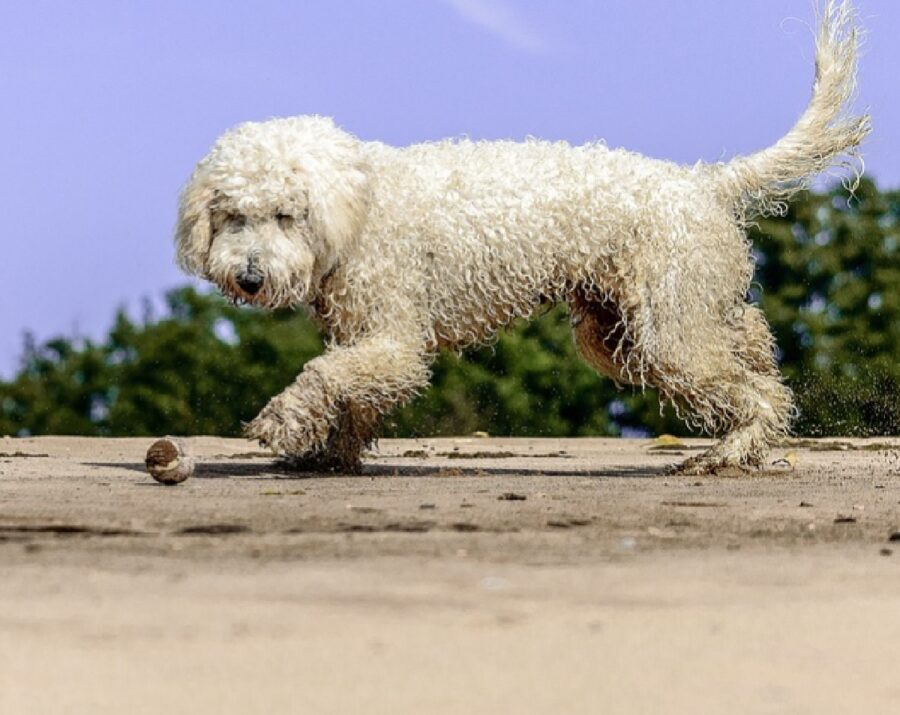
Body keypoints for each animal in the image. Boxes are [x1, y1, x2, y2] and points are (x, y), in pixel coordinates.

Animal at [174, 5, 864, 478]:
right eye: (231, 216)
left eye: (285, 215)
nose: (249, 277)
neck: (360, 206)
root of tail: (703, 181)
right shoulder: (366, 336)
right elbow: (352, 390)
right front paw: (330, 454)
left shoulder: (392, 337)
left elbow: (325, 376)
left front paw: (280, 423)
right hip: (627, 331)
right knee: (750, 344)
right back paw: (754, 391)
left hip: (667, 335)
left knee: (752, 390)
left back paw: (731, 451)